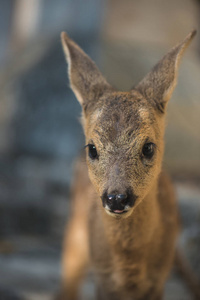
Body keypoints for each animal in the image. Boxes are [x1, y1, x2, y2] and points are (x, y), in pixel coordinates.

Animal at [58, 30, 199, 300]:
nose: (117, 198)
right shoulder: (103, 279)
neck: (129, 270)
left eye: (148, 147)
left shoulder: (157, 280)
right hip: (75, 233)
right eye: (92, 148)